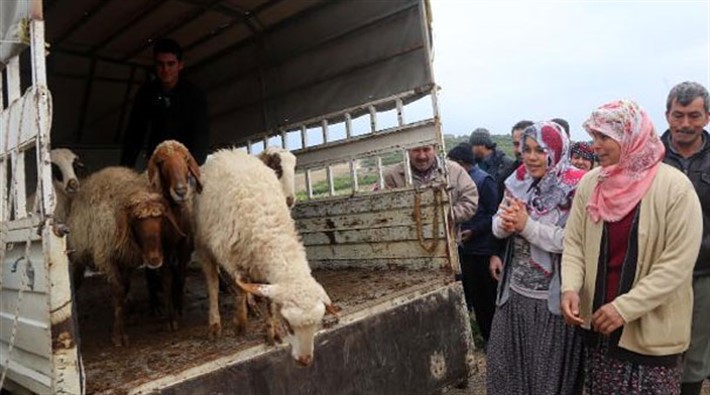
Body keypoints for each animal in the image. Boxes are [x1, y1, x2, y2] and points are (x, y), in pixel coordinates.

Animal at [67, 167, 185, 346]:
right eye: (136, 220)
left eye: (159, 219)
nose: (155, 259)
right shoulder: (106, 258)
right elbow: (118, 290)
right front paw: (118, 335)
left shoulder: (127, 259)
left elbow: (127, 288)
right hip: (78, 255)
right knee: (76, 280)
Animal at [193, 149, 338, 368]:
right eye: (289, 325)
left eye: (317, 324)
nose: (305, 361)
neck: (271, 231)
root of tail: (226, 152)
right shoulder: (230, 256)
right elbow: (239, 289)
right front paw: (240, 324)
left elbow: (269, 301)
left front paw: (272, 332)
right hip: (203, 244)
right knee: (212, 282)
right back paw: (215, 324)